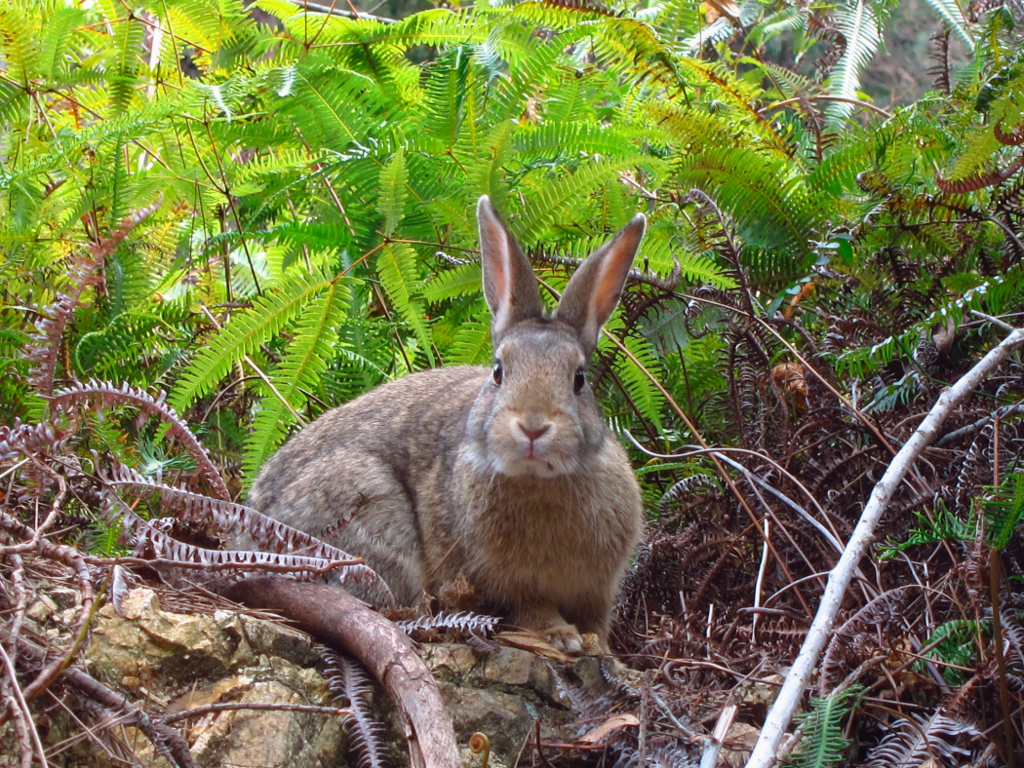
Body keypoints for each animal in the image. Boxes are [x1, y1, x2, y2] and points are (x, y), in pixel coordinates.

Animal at [243, 195, 643, 651]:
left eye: (578, 379)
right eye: (498, 371)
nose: (533, 426)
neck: (540, 482)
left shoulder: (597, 590)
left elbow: (597, 620)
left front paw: (599, 647)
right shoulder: (502, 584)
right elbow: (530, 610)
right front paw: (562, 637)